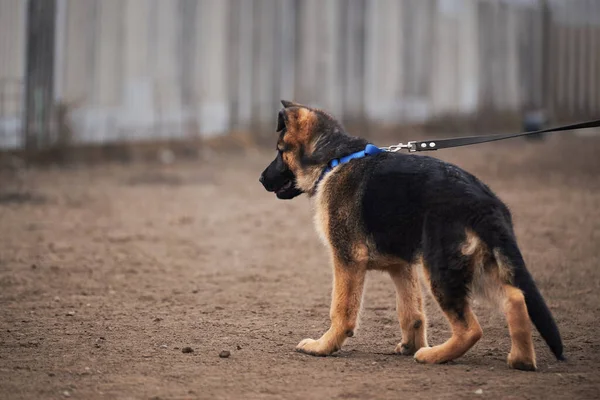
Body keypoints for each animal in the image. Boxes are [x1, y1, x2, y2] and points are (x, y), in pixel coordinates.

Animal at [260, 101, 564, 370]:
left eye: (279, 151)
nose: (261, 180)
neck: (334, 159)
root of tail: (484, 202)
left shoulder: (347, 260)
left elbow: (342, 310)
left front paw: (324, 346)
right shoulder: (400, 265)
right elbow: (411, 311)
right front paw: (410, 344)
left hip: (442, 269)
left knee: (472, 329)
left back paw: (434, 355)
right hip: (476, 266)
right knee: (515, 298)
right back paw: (521, 360)